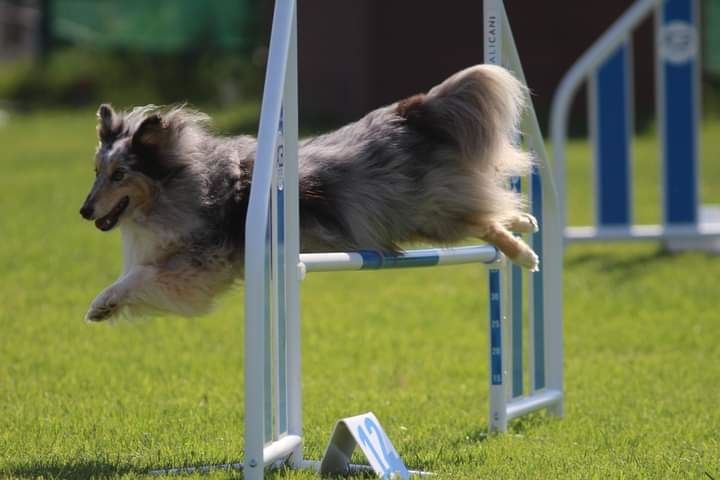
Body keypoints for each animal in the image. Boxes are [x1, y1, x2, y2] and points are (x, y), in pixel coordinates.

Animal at [81, 62, 536, 320]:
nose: (84, 212)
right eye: (97, 171)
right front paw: (106, 307)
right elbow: (136, 278)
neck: (186, 181)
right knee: (493, 210)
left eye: (120, 175)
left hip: (433, 213)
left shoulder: (197, 266)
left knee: (485, 220)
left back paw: (524, 255)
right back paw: (526, 222)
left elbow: (138, 276)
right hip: (424, 217)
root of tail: (410, 111)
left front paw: (100, 305)